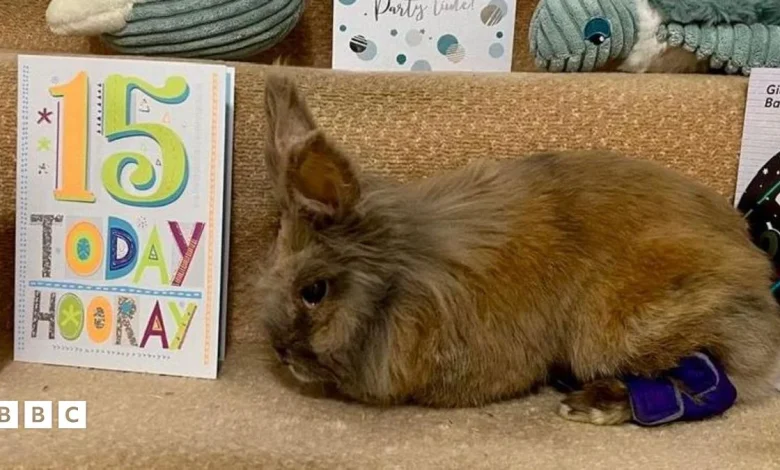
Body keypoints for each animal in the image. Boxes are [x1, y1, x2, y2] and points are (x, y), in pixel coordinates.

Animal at [256, 72, 780, 425]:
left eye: (314, 292)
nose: (281, 353)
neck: (400, 278)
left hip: (626, 323)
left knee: (708, 375)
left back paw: (593, 404)